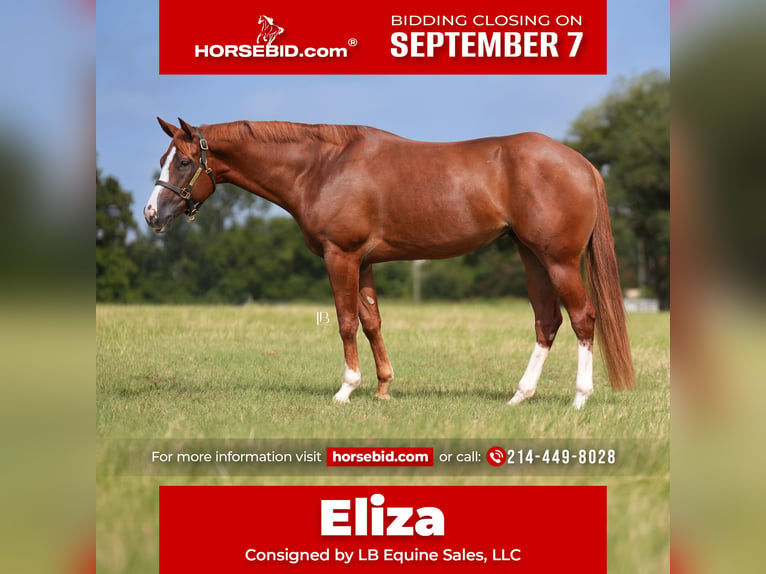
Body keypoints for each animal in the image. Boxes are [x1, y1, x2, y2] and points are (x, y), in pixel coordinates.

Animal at [144, 117, 635, 408]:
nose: (152, 215)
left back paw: (579, 398)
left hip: (559, 261)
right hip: (531, 256)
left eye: (184, 162)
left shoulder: (340, 256)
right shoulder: (363, 262)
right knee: (547, 321)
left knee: (583, 317)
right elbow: (371, 321)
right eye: (163, 158)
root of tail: (582, 164)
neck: (322, 167)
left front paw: (346, 388)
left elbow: (345, 321)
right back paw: (520, 395)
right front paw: (382, 387)